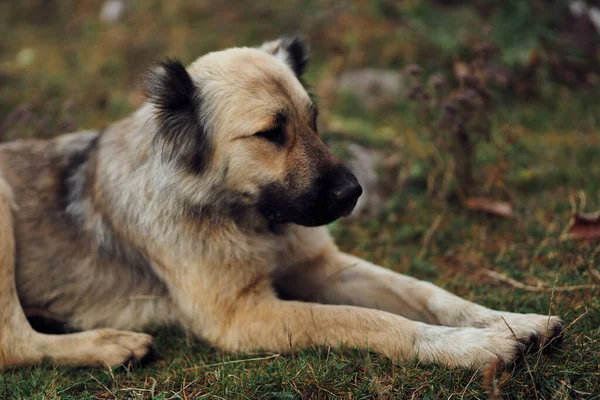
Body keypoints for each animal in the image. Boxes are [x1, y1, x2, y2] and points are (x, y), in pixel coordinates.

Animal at [0, 37, 564, 368]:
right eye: (271, 133)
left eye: (313, 120)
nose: (353, 193)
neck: (246, 216)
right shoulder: (243, 315)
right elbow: (371, 321)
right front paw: (474, 347)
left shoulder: (325, 267)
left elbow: (427, 292)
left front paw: (511, 322)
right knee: (14, 342)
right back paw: (111, 344)